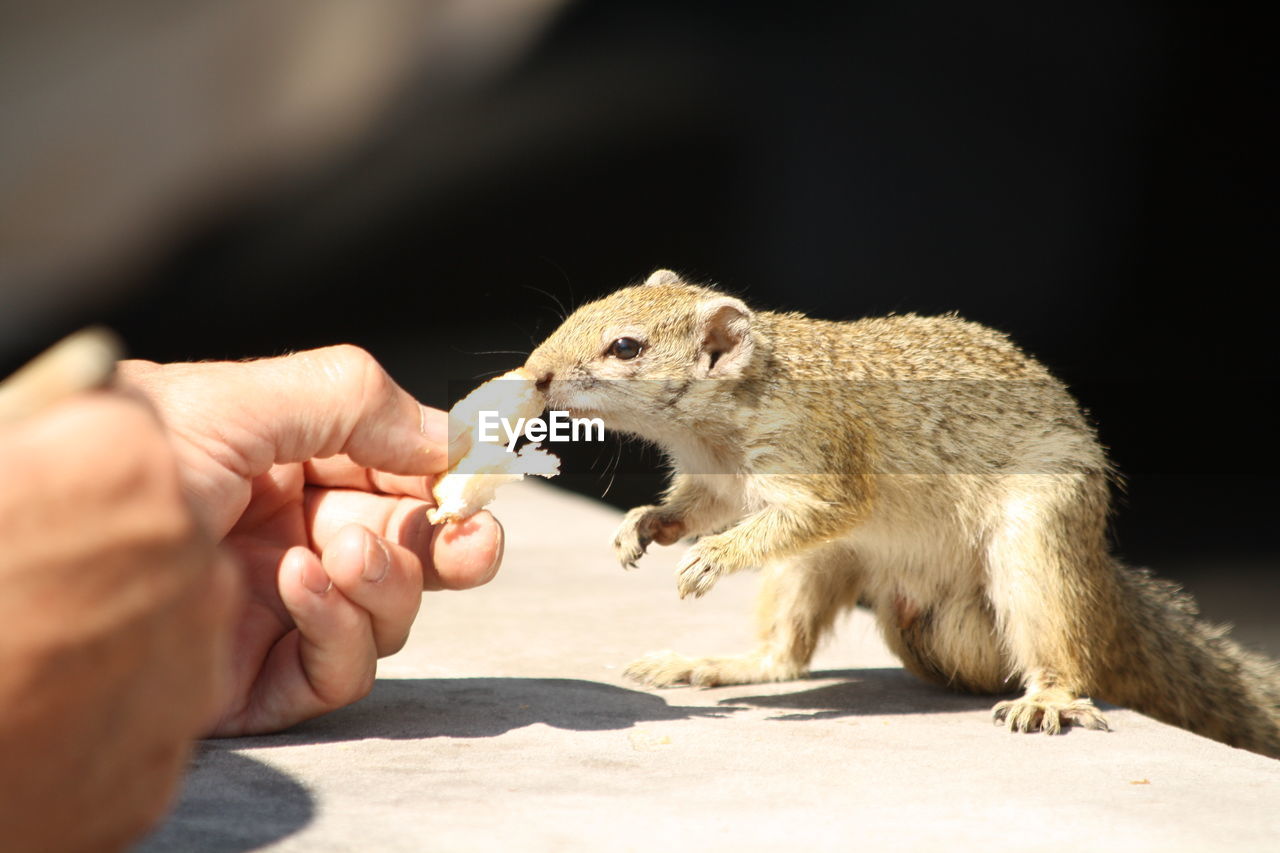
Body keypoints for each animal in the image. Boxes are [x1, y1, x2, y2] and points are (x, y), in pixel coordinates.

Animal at [522, 268, 1280, 753]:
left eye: (626, 346)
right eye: (584, 309)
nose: (534, 373)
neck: (717, 433)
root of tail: (1097, 569)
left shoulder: (822, 453)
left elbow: (815, 510)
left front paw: (716, 554)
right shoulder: (716, 483)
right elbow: (694, 506)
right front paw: (643, 526)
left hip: (1037, 539)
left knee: (1061, 643)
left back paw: (1048, 698)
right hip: (816, 571)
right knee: (784, 654)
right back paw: (722, 662)